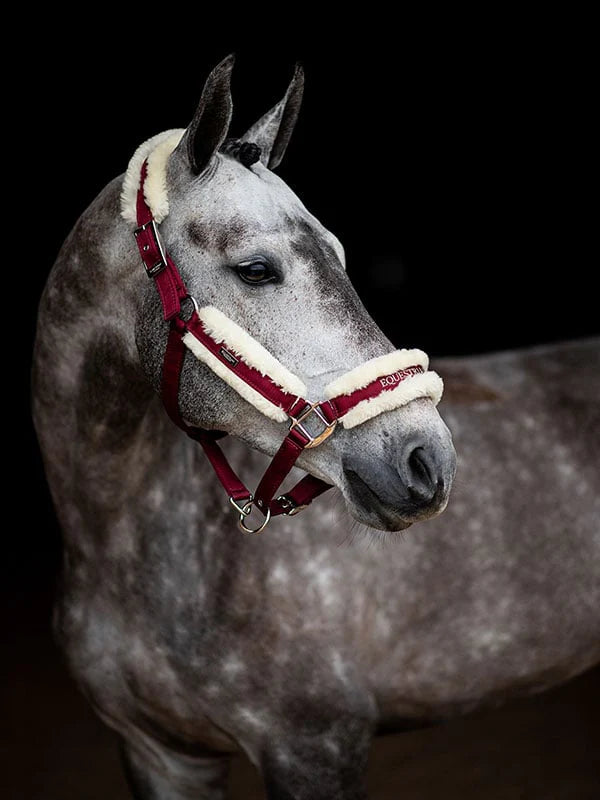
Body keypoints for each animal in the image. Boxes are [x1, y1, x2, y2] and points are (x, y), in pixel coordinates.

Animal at [34, 53, 600, 796]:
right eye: (256, 269)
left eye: (339, 254)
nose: (427, 460)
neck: (126, 544)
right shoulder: (162, 755)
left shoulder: (314, 749)